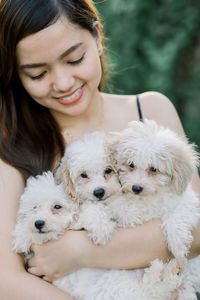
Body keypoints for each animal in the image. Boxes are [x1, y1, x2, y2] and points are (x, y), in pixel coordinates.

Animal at [109, 119, 200, 300]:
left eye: (153, 169)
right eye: (131, 165)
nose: (136, 188)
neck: (152, 197)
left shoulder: (188, 204)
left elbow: (175, 217)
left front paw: (178, 245)